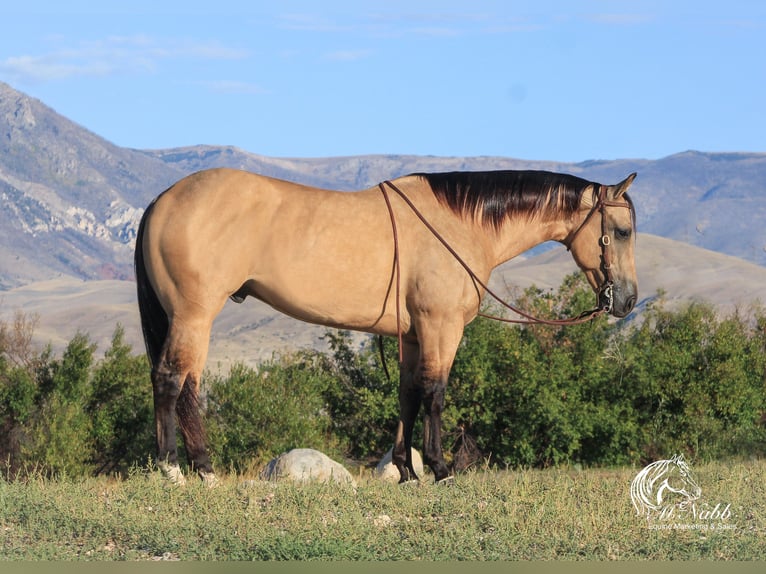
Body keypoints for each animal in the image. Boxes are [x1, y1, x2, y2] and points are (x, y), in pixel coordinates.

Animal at [135, 168, 640, 486]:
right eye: (623, 231)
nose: (628, 301)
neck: (459, 225)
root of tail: (162, 199)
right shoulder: (441, 327)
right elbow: (435, 394)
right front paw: (440, 469)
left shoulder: (414, 335)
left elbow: (408, 396)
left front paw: (408, 472)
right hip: (194, 315)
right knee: (171, 380)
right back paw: (179, 470)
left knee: (187, 386)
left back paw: (199, 467)